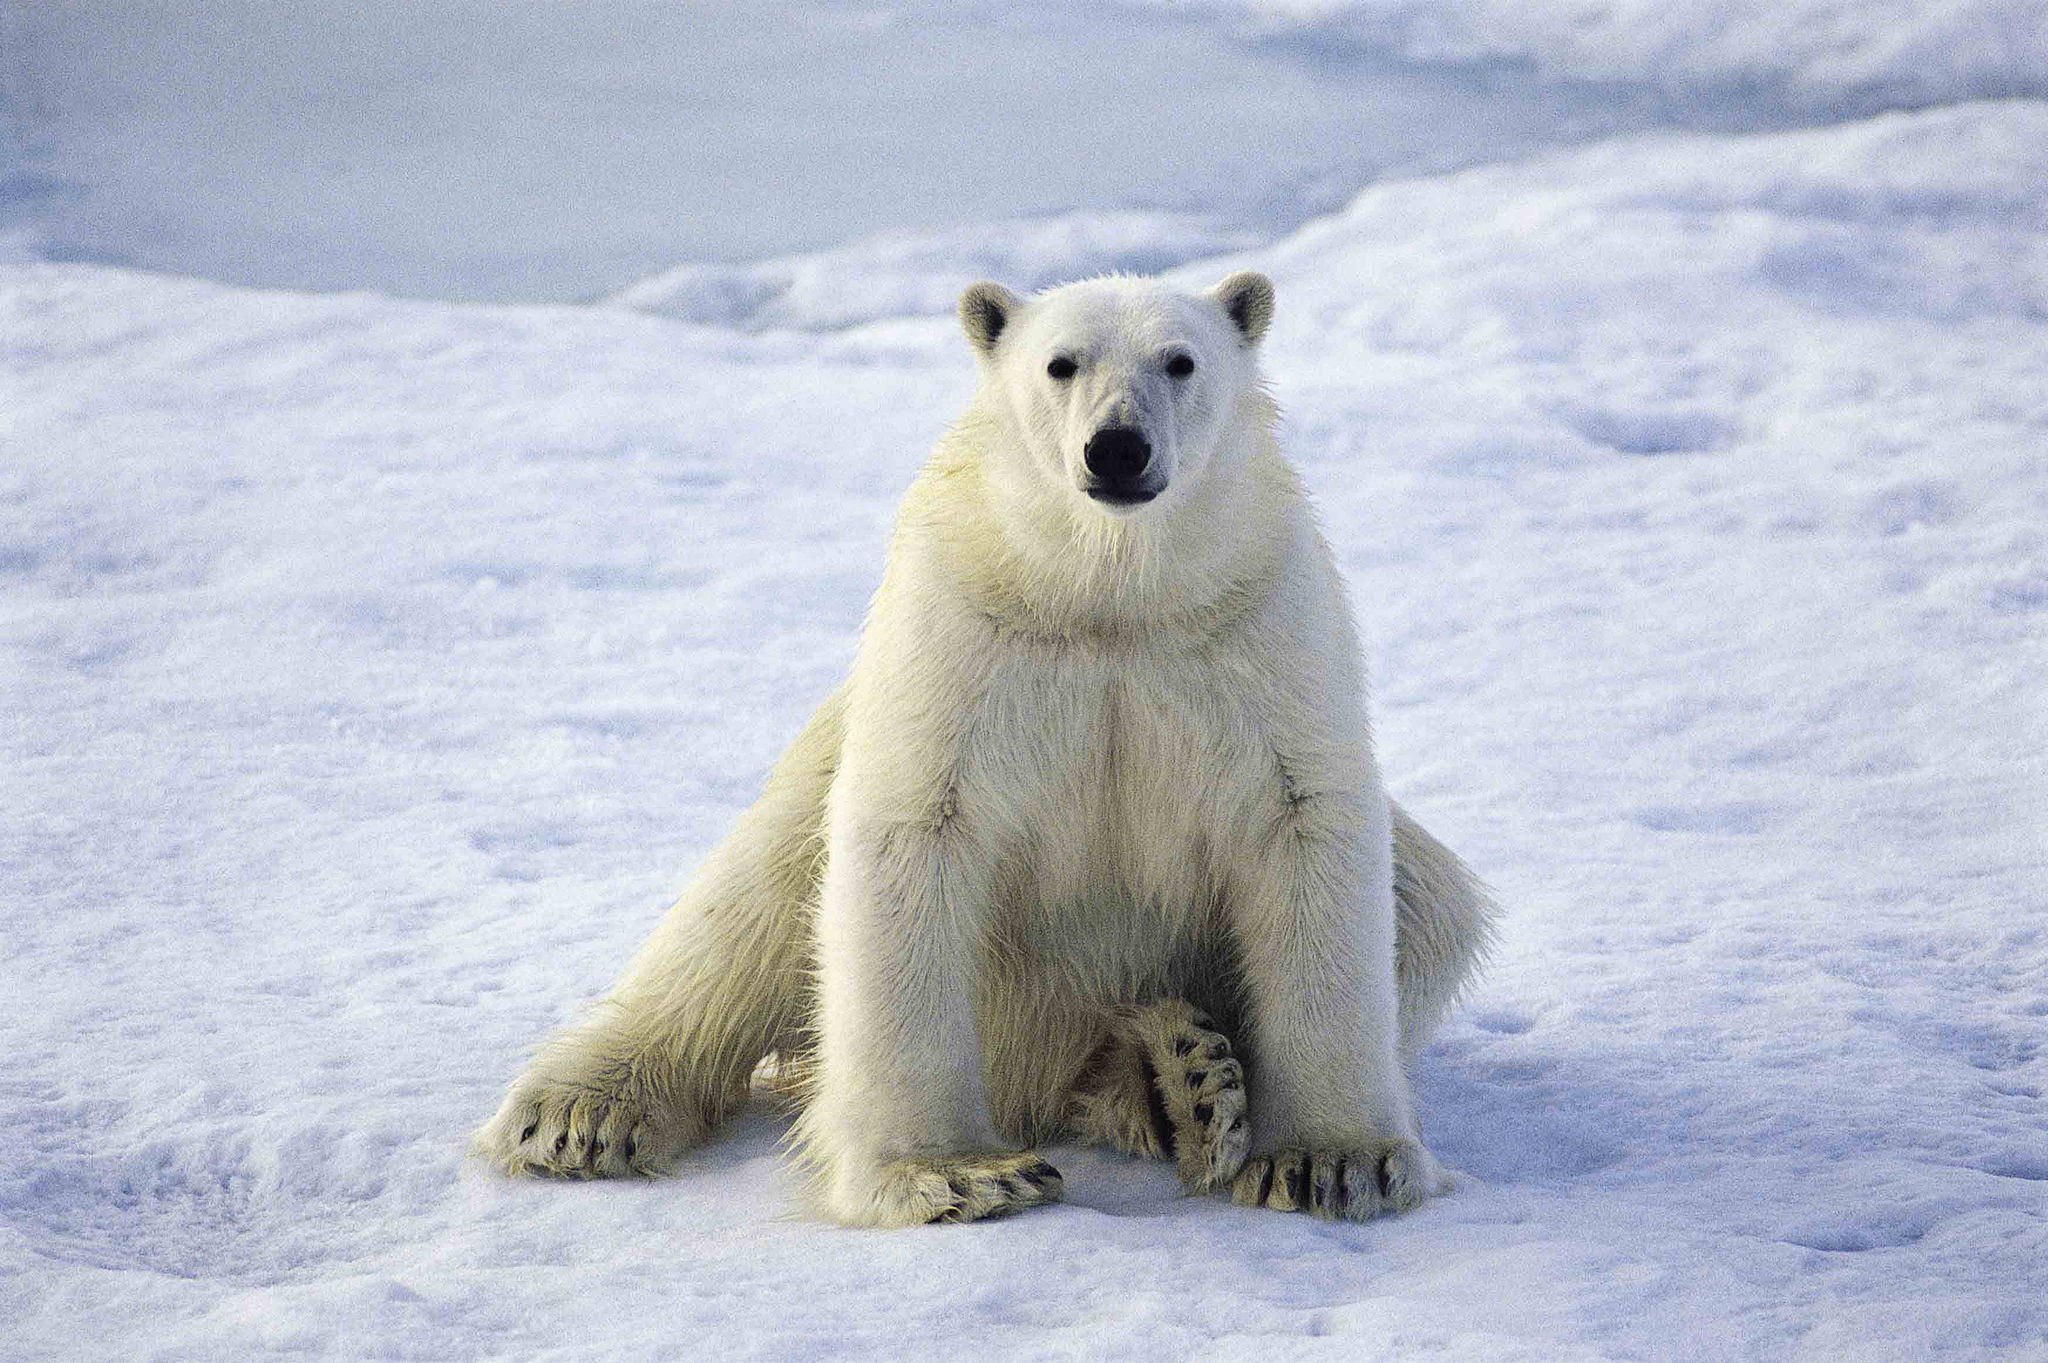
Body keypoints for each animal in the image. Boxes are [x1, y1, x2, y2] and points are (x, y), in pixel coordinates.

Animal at [479, 270, 1507, 1227]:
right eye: (1061, 364)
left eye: (1180, 361)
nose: (1117, 446)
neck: (1108, 595)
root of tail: (1037, 1070)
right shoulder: (966, 630)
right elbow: (913, 833)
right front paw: (958, 1174)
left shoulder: (1257, 627)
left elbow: (1306, 825)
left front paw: (1329, 1161)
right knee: (741, 915)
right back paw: (579, 1112)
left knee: (1432, 901)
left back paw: (1181, 1077)